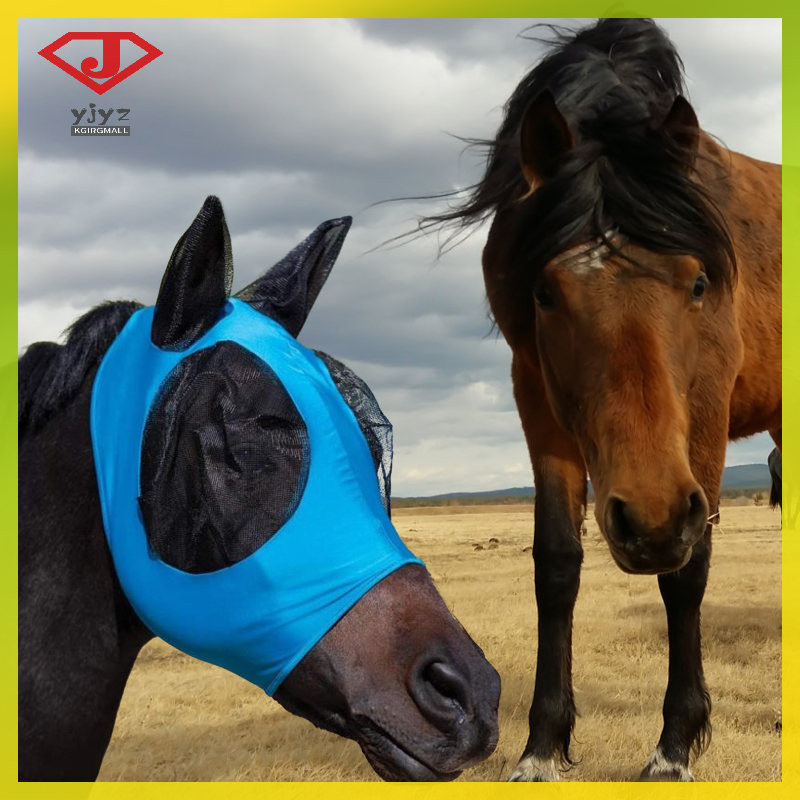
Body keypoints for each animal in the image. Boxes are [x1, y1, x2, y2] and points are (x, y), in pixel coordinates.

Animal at [424, 18, 781, 780]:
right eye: (545, 292)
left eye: (699, 282)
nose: (649, 520)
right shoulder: (538, 404)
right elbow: (557, 564)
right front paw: (542, 745)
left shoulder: (705, 419)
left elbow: (686, 575)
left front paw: (674, 745)